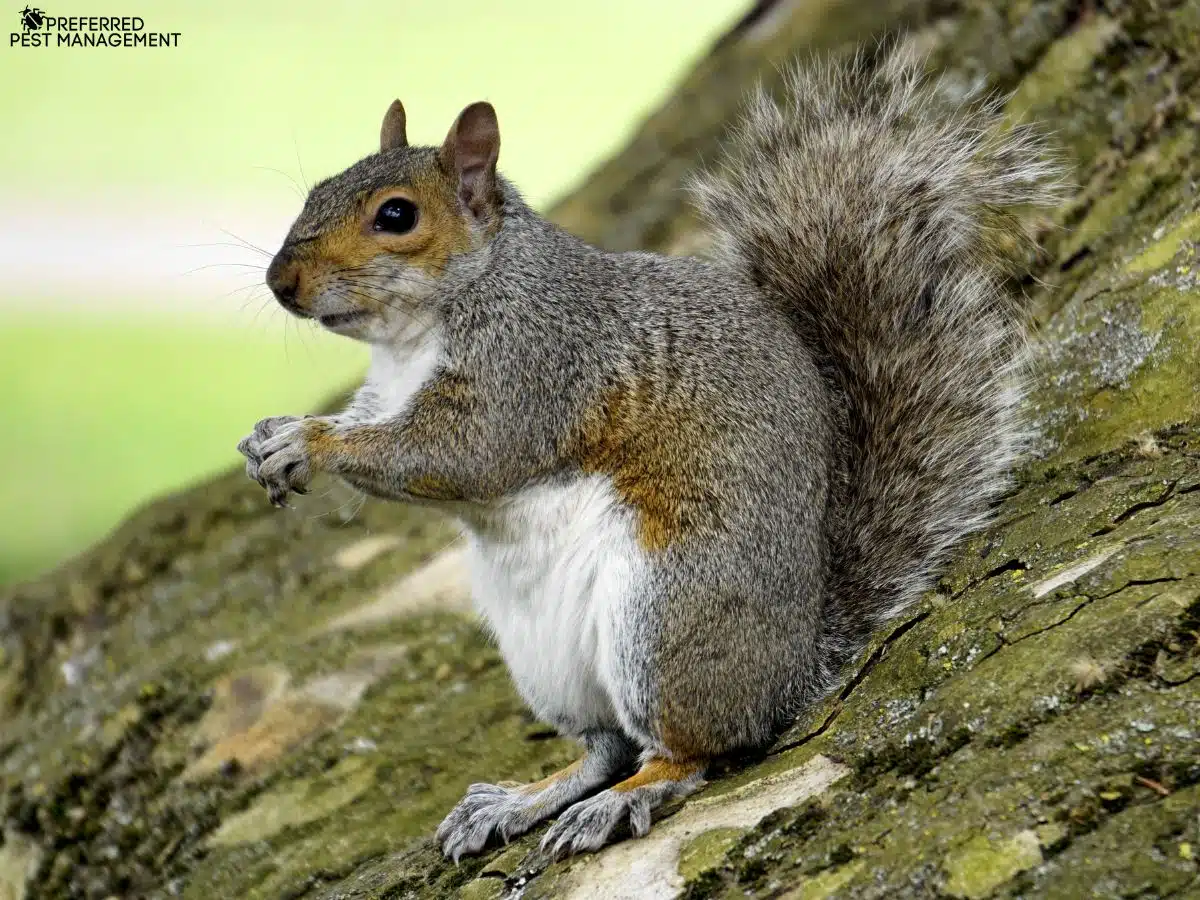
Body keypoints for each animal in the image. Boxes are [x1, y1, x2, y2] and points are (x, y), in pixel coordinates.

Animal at [238, 50, 1061, 859]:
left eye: (396, 215)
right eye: (317, 190)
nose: (281, 282)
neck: (420, 330)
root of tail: (793, 667)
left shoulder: (534, 368)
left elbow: (460, 455)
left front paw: (311, 444)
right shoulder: (388, 392)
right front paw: (272, 436)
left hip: (665, 616)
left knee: (689, 751)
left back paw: (623, 801)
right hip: (547, 660)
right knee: (607, 747)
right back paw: (524, 799)